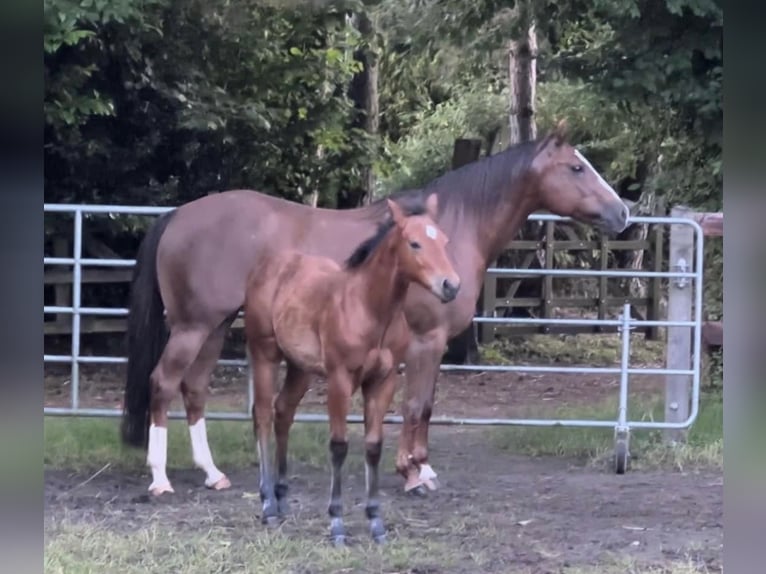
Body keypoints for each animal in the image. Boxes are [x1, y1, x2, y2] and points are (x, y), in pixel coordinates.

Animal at [246, 195, 462, 544]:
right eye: (414, 243)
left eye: (444, 240)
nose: (451, 286)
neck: (368, 308)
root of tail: (268, 267)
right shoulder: (339, 380)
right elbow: (339, 446)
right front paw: (336, 523)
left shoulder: (383, 381)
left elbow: (373, 447)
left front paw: (376, 523)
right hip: (264, 353)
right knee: (263, 415)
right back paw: (267, 503)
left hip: (300, 367)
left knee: (283, 412)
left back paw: (281, 497)